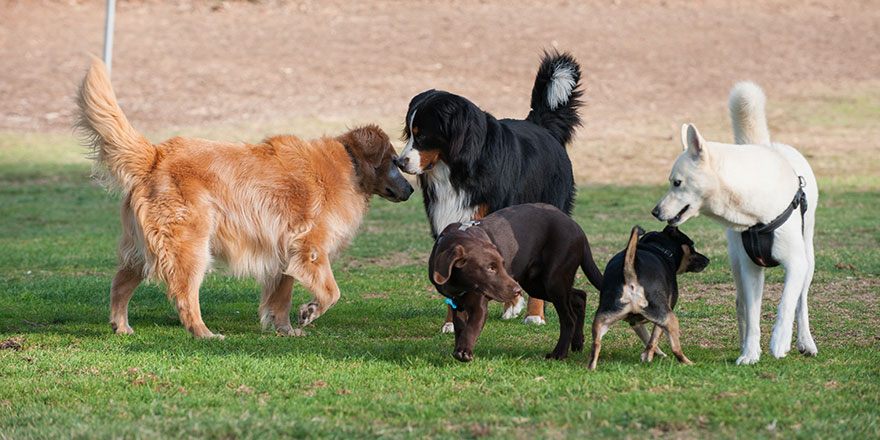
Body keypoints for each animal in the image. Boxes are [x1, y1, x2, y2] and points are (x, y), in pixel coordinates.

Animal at [75, 58, 412, 338]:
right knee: (184, 297)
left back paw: (121, 326)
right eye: (395, 161)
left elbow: (281, 298)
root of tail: (156, 155)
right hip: (190, 248)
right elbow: (331, 292)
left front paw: (285, 329)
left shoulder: (284, 252)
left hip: (142, 251)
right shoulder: (311, 249)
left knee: (119, 284)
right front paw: (309, 311)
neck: (350, 163)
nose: (410, 190)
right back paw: (203, 333)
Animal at [396, 51, 580, 332]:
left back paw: (534, 314)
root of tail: (542, 127)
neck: (457, 169)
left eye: (423, 135)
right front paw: (452, 322)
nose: (399, 162)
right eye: (409, 132)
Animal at [428, 203, 604, 360]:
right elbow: (461, 329)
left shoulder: (479, 306)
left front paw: (464, 352)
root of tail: (577, 228)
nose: (517, 291)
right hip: (537, 285)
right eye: (490, 268)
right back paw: (577, 343)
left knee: (569, 319)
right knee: (579, 297)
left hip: (554, 282)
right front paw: (460, 348)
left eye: (502, 264)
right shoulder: (457, 304)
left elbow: (471, 328)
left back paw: (559, 353)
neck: (459, 284)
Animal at [588, 225, 712, 370]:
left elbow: (647, 339)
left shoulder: (635, 323)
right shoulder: (664, 314)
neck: (659, 247)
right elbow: (654, 339)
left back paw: (591, 368)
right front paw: (650, 356)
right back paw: (690, 363)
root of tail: (631, 278)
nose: (708, 260)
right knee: (676, 349)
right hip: (670, 317)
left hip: (602, 319)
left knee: (596, 345)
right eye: (692, 245)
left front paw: (652, 355)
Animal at [652, 82, 820, 364]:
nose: (655, 211)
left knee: (801, 301)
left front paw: (780, 342)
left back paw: (805, 341)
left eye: (677, 183)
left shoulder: (796, 264)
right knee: (742, 305)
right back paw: (744, 344)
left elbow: (786, 303)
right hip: (736, 264)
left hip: (808, 259)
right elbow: (752, 315)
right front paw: (750, 354)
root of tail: (767, 145)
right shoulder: (750, 268)